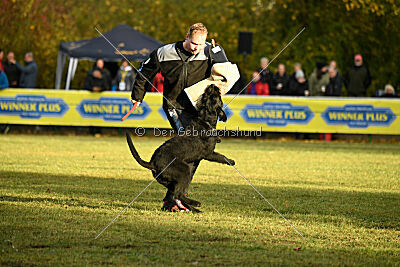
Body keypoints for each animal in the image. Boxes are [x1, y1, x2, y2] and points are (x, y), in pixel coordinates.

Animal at [126, 86, 234, 214]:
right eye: (214, 97)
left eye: (205, 96)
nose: (212, 86)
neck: (205, 119)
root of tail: (152, 163)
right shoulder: (209, 154)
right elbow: (222, 157)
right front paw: (231, 161)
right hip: (185, 171)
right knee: (179, 194)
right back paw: (196, 203)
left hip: (171, 182)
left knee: (176, 194)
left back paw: (192, 208)